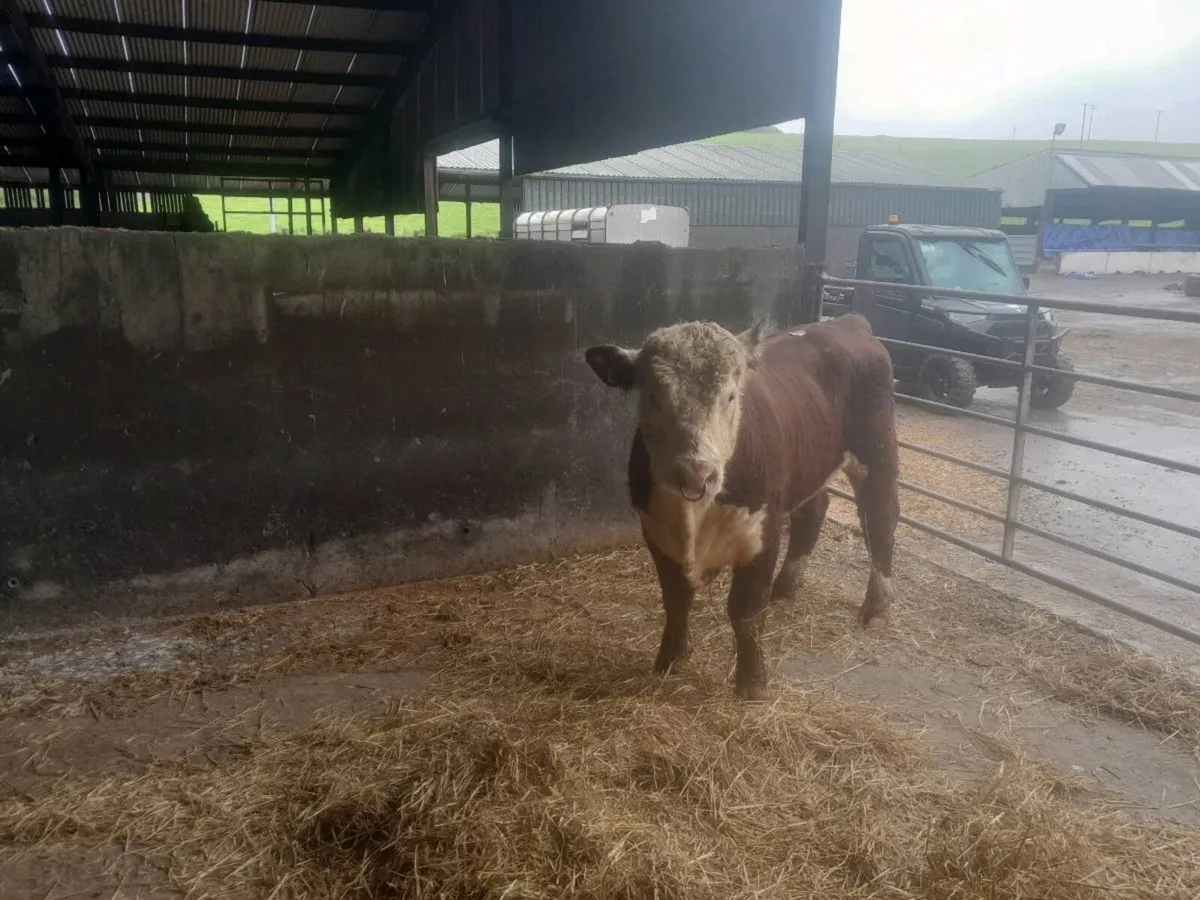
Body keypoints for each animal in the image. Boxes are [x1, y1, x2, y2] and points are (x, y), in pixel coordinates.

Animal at [584, 313, 899, 700]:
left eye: (732, 396)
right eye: (653, 396)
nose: (696, 471)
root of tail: (847, 321)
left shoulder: (762, 531)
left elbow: (746, 611)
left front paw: (751, 684)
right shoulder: (656, 532)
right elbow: (675, 600)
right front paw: (670, 660)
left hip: (877, 453)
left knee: (881, 519)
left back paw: (877, 607)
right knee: (814, 511)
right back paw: (787, 585)